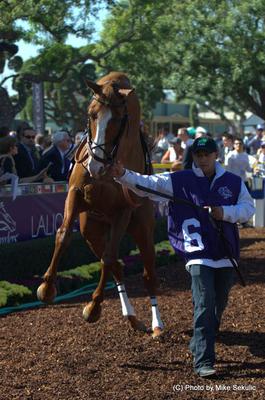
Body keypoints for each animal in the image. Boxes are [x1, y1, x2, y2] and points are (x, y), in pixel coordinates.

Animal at [36, 72, 163, 338]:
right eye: (91, 114)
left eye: (117, 119)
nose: (95, 164)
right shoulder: (75, 195)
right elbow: (63, 235)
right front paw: (47, 287)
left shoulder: (123, 211)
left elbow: (108, 257)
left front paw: (93, 307)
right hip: (92, 230)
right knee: (117, 265)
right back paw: (132, 317)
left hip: (142, 229)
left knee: (146, 273)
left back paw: (157, 324)